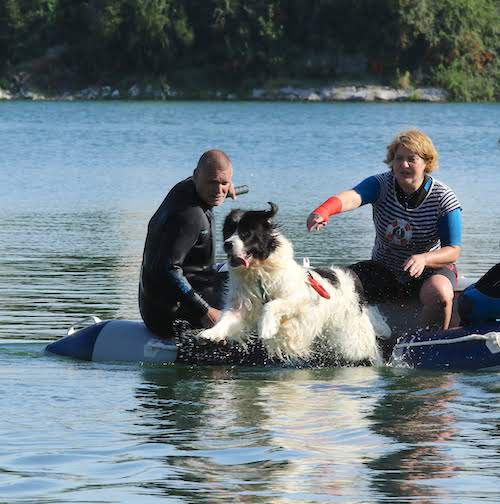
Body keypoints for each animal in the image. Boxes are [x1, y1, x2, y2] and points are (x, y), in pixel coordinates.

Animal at [199, 203, 390, 364]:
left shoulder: (299, 299)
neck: (259, 271)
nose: (227, 244)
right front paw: (210, 333)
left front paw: (266, 328)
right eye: (227, 232)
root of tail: (351, 274)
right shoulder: (243, 303)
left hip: (352, 334)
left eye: (246, 234)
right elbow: (228, 317)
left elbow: (272, 305)